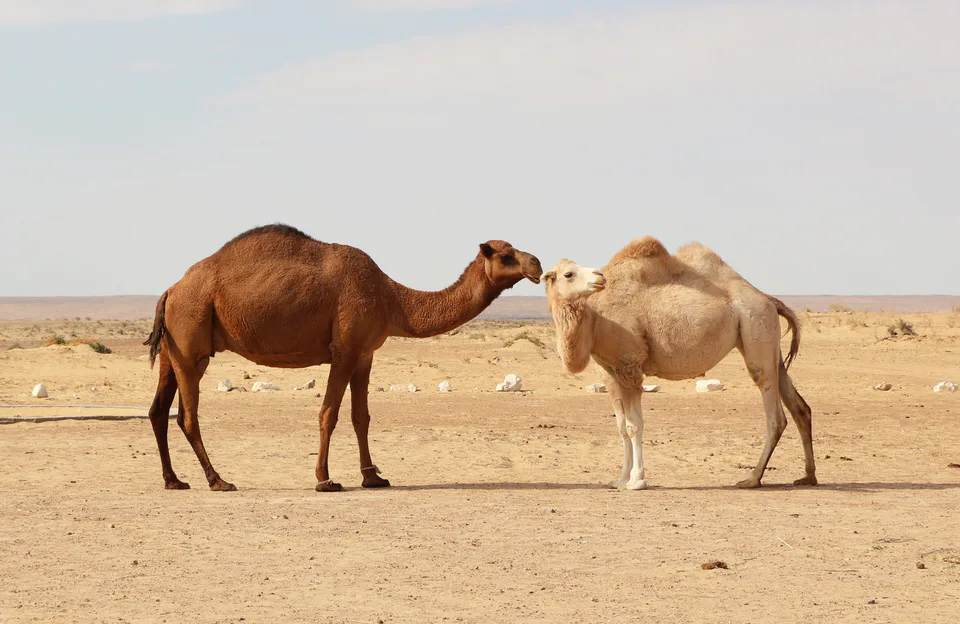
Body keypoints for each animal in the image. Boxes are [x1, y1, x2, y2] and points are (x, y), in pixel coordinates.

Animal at [144, 224, 543, 492]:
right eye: (505, 255)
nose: (537, 264)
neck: (390, 297)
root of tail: (171, 289)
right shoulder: (345, 350)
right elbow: (329, 413)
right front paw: (325, 479)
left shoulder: (365, 353)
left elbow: (360, 416)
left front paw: (374, 477)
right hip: (192, 340)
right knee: (187, 416)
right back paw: (218, 480)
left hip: (172, 349)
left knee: (158, 410)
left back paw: (174, 480)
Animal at [541, 236, 816, 490]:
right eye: (568, 273)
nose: (599, 277)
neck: (595, 319)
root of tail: (769, 299)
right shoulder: (609, 370)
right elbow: (620, 426)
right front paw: (620, 479)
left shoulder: (629, 364)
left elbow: (634, 425)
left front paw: (637, 481)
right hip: (767, 341)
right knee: (799, 407)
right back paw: (808, 476)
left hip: (755, 325)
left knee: (775, 414)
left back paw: (752, 479)